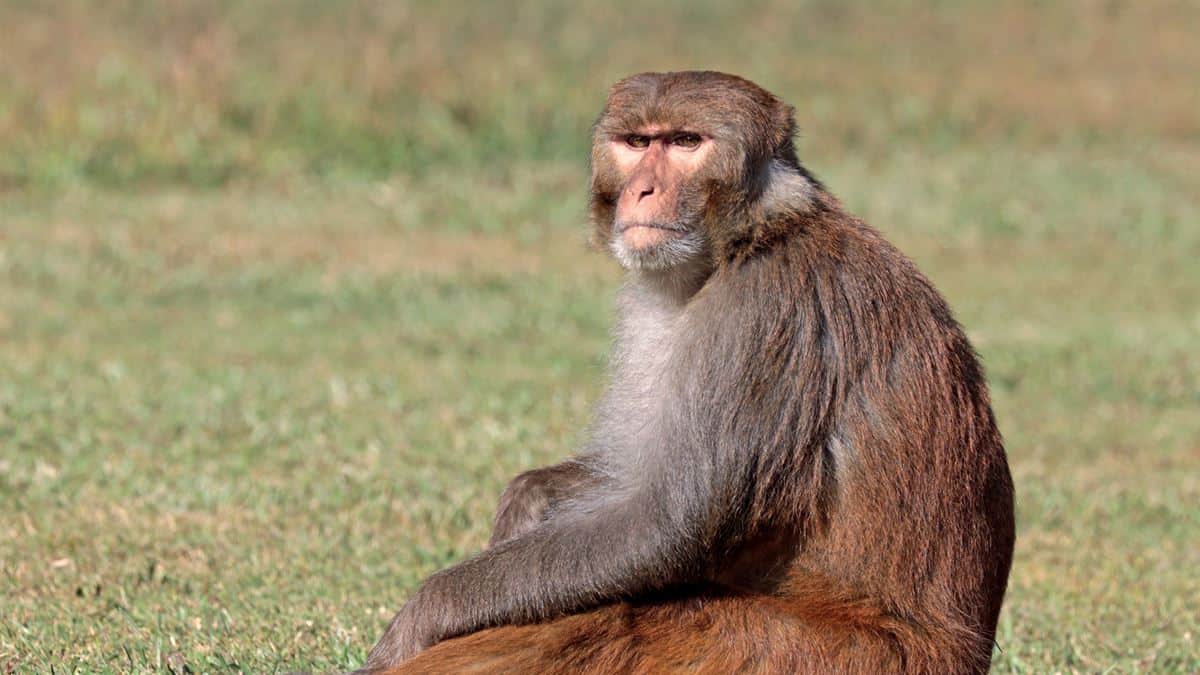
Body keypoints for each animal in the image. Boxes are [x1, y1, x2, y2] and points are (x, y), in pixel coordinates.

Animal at [355, 70, 1012, 667]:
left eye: (686, 142)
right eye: (637, 143)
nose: (643, 190)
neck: (744, 241)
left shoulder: (763, 312)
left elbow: (664, 524)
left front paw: (423, 616)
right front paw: (529, 498)